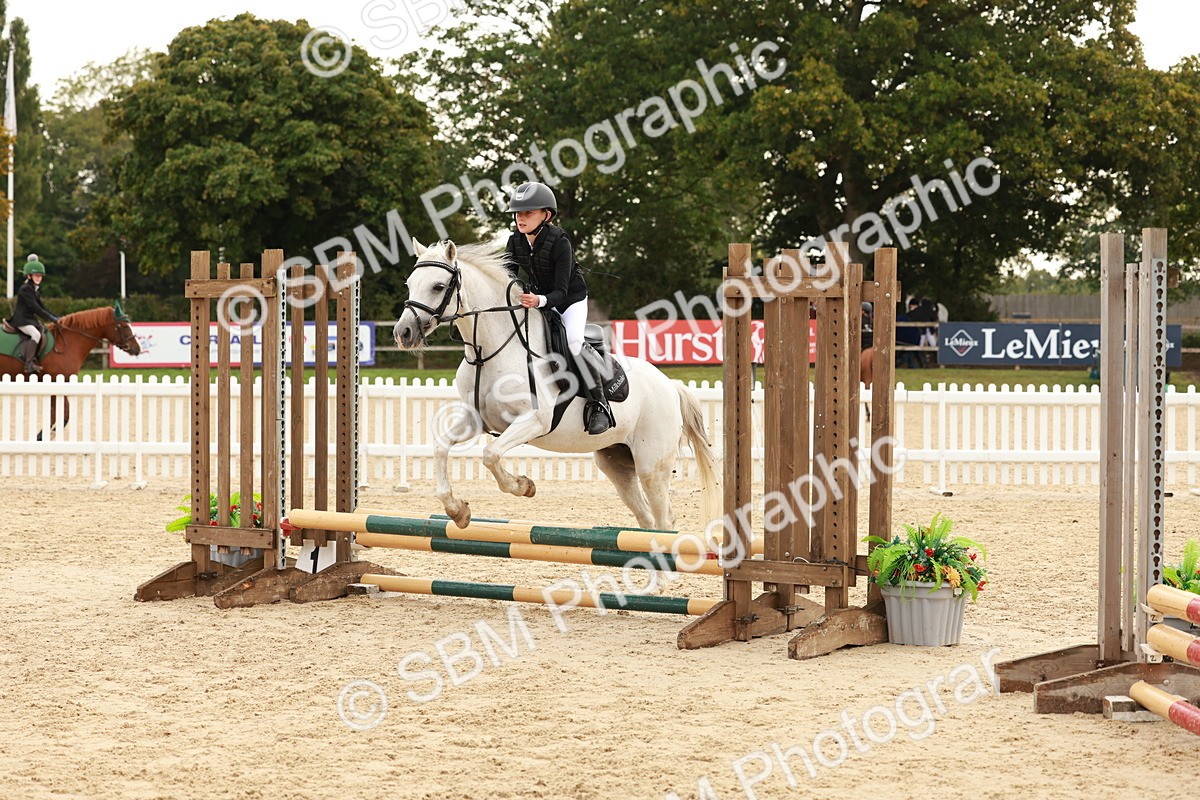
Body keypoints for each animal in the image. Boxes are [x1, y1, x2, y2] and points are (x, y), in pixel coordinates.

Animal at [0, 304, 142, 437]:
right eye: (124, 326)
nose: (137, 349)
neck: (68, 342)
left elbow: (57, 413)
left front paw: (46, 434)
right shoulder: (56, 383)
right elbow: (65, 414)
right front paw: (44, 435)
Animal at [392, 240, 721, 533]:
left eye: (438, 287)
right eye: (408, 284)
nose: (403, 333)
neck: (491, 349)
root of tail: (670, 385)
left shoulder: (534, 420)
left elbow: (490, 454)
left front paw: (522, 486)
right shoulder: (477, 419)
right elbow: (441, 447)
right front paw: (457, 510)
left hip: (651, 466)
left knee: (664, 519)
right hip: (616, 463)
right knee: (645, 518)